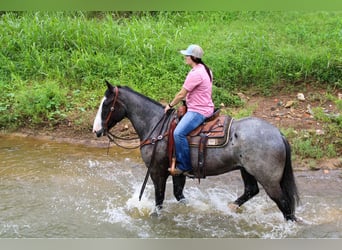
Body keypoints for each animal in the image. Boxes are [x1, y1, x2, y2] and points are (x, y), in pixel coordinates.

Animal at [92, 80, 298, 221]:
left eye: (106, 105)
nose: (96, 130)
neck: (157, 126)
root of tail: (278, 134)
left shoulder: (157, 172)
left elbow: (159, 199)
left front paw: (154, 217)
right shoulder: (177, 171)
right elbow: (179, 195)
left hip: (269, 179)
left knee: (284, 205)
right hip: (246, 170)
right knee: (251, 190)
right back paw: (230, 207)